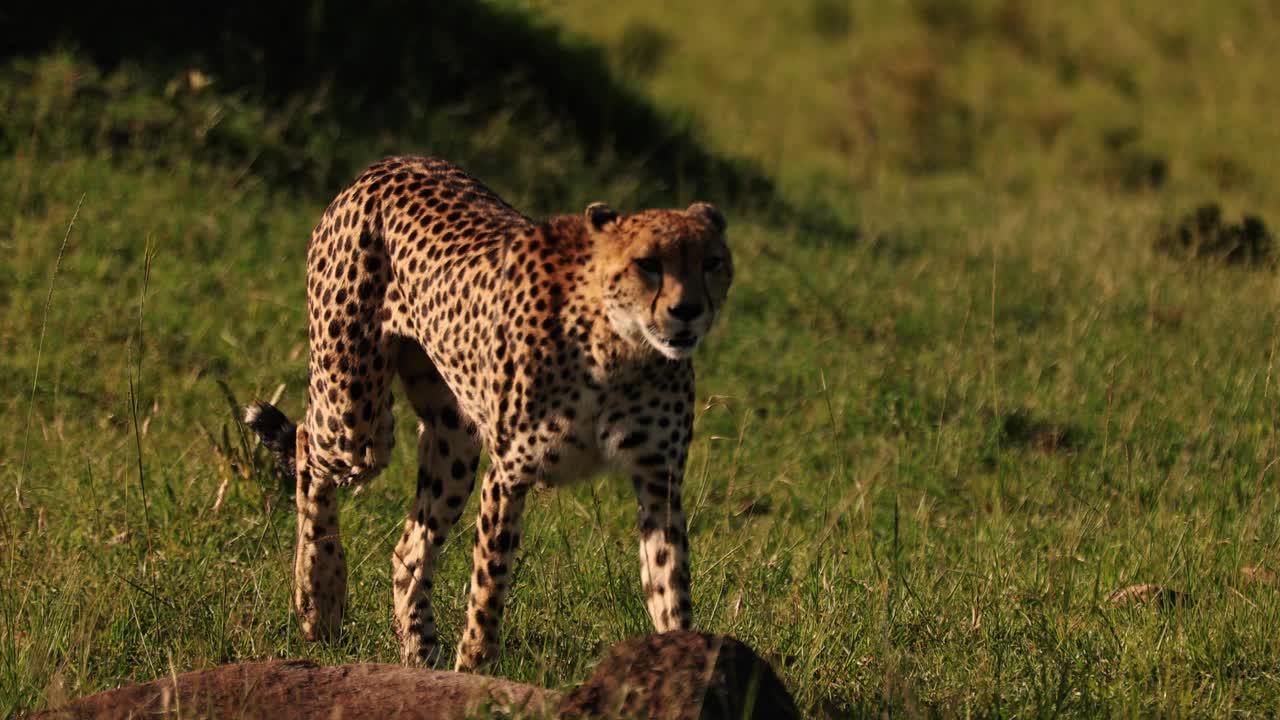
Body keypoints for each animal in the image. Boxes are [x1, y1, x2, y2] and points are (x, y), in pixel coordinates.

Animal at [241, 154, 732, 671]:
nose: (688, 310)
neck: (622, 347)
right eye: (648, 264)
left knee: (408, 549)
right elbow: (490, 581)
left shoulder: (659, 482)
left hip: (453, 442)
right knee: (306, 446)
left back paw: (421, 653)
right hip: (356, 417)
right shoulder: (509, 474)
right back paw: (320, 597)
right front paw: (477, 667)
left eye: (712, 262)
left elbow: (670, 588)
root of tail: (393, 161)